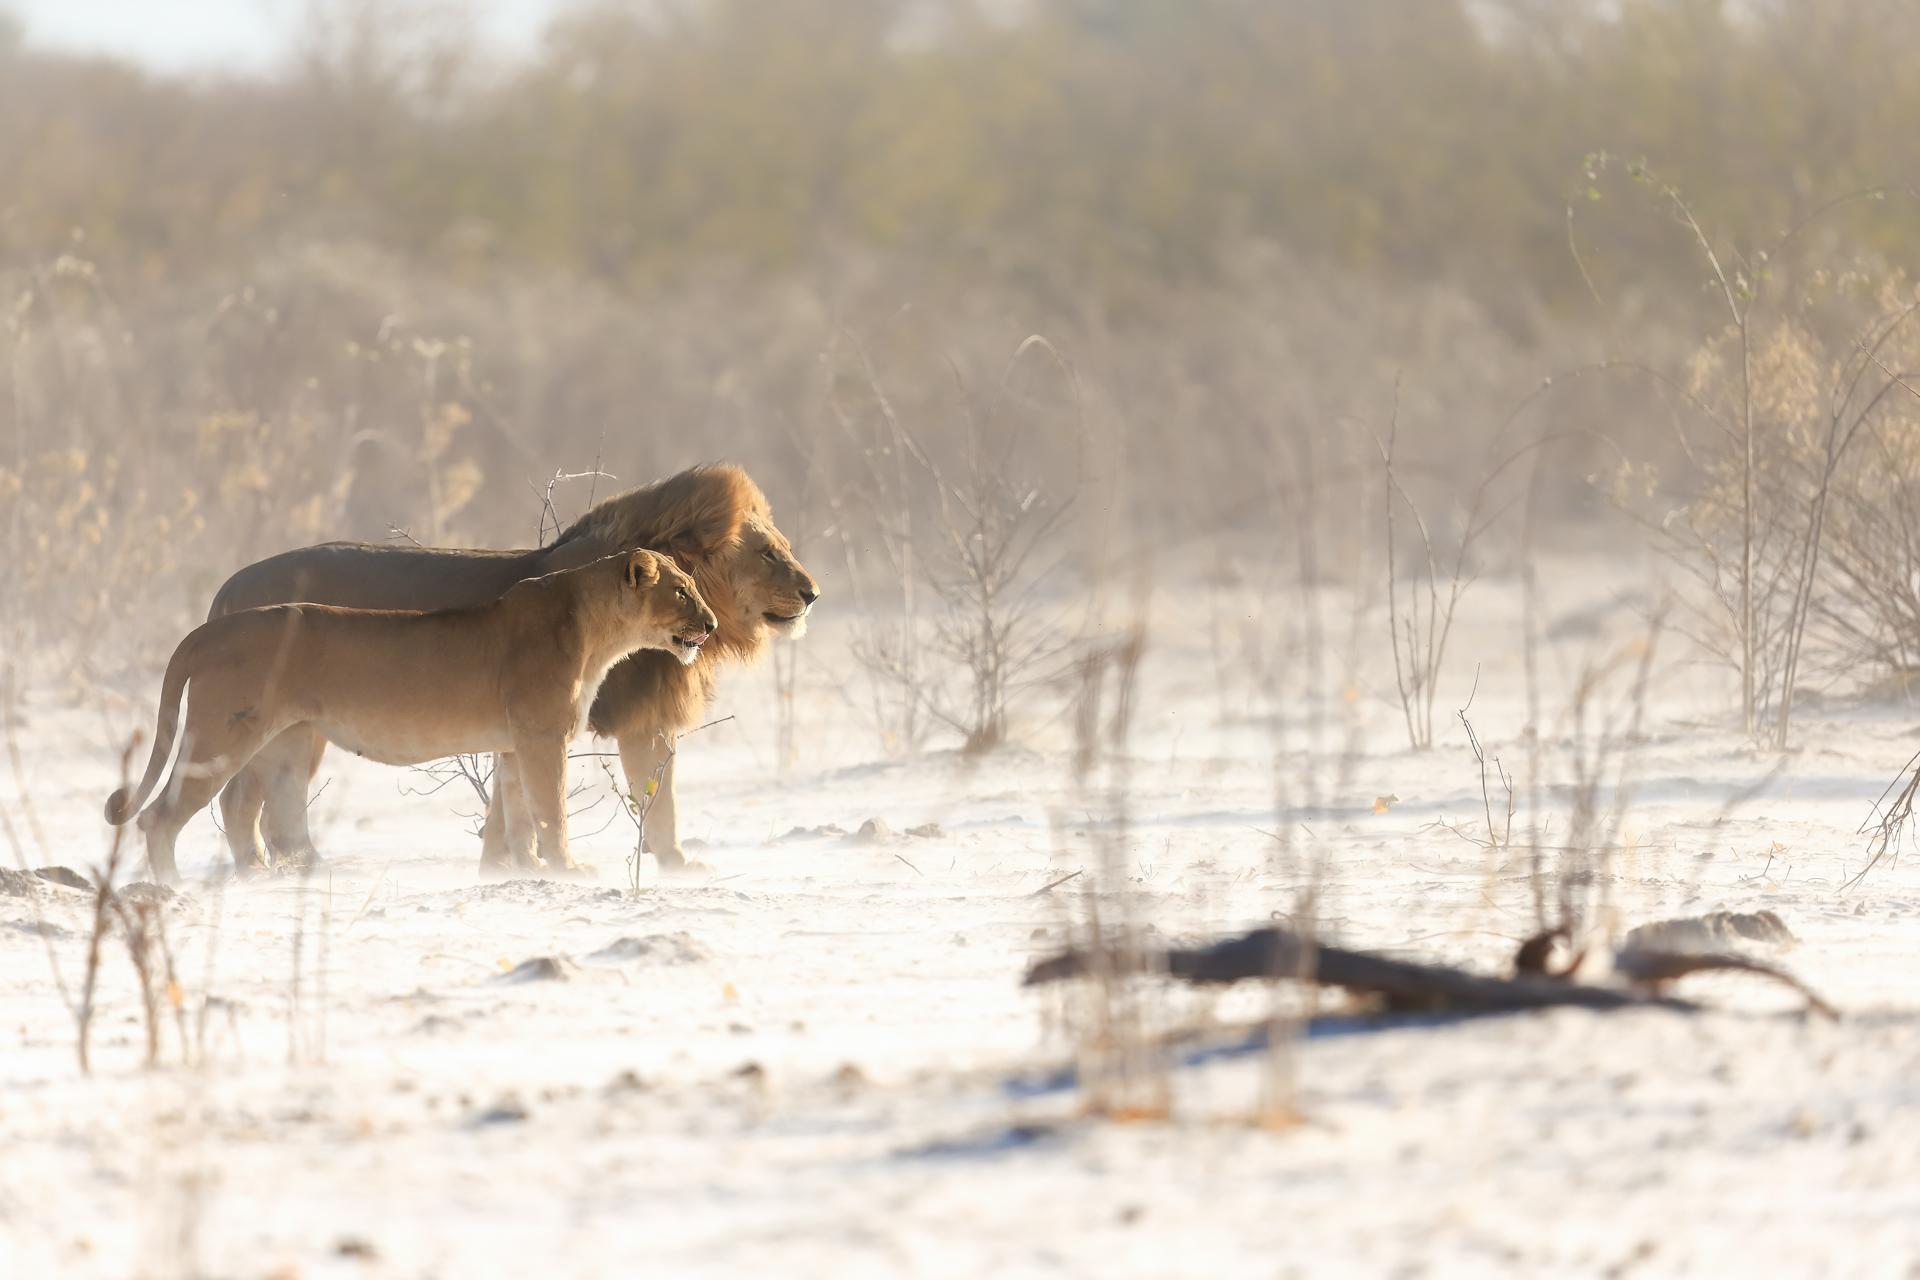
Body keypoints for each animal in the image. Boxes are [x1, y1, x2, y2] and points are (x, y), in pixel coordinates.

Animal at [107, 545, 721, 886]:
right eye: (682, 592)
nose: (713, 624)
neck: (600, 634)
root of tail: (207, 629)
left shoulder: (515, 741)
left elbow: (518, 812)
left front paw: (527, 871)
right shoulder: (543, 736)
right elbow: (552, 813)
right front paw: (569, 869)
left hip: (285, 740)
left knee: (271, 813)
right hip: (221, 736)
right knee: (159, 816)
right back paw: (176, 886)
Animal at [204, 466, 817, 875]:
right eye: (767, 554)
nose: (813, 593)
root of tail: (231, 582)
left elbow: (517, 799)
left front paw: (504, 867)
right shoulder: (636, 719)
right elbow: (656, 801)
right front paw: (672, 864)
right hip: (282, 727)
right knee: (246, 801)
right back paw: (267, 869)